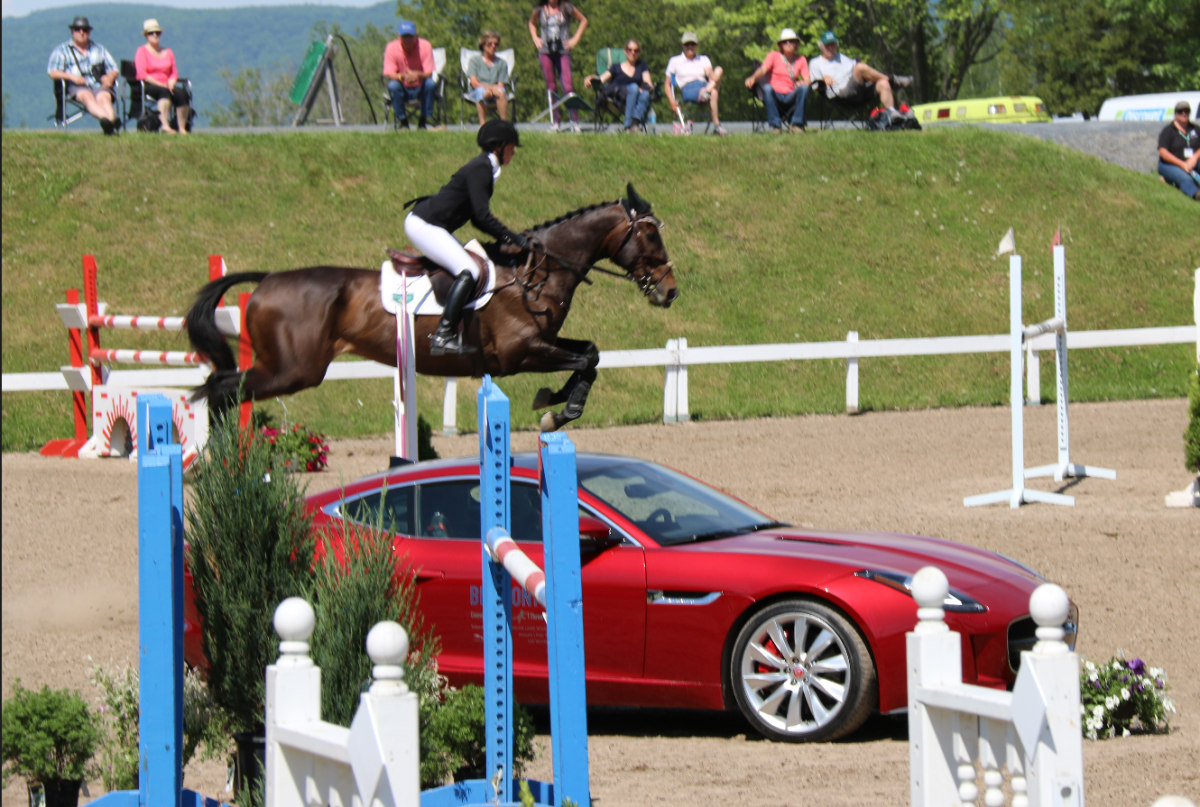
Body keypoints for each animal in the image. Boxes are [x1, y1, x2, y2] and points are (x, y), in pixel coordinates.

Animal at [184, 184, 676, 432]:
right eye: (651, 235)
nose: (670, 291)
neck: (538, 270)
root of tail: (268, 280)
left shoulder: (545, 342)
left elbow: (590, 354)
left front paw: (554, 404)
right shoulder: (520, 353)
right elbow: (585, 359)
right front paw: (558, 410)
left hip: (290, 368)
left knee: (221, 387)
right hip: (293, 370)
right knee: (220, 388)